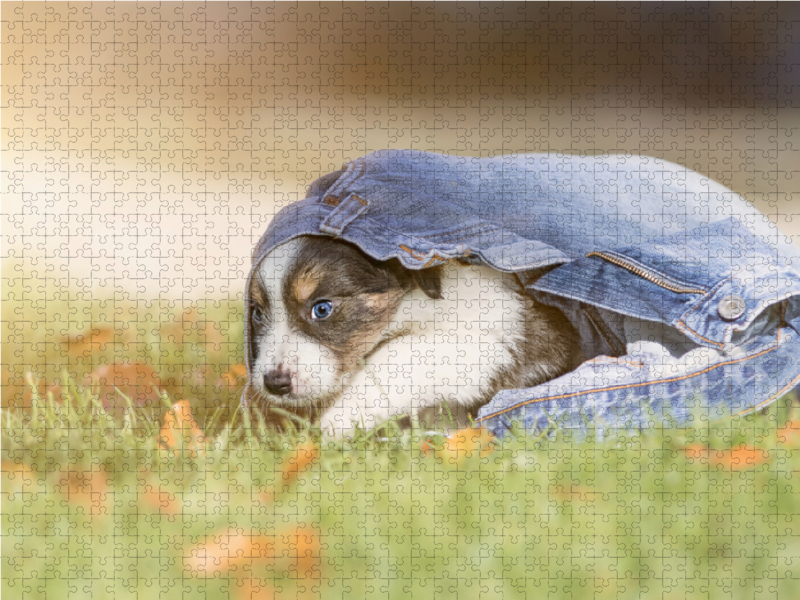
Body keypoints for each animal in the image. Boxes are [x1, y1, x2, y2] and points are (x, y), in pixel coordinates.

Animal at [247, 234, 580, 436]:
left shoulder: (497, 338)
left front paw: (337, 422)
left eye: (322, 309)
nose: (275, 384)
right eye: (257, 313)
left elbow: (395, 355)